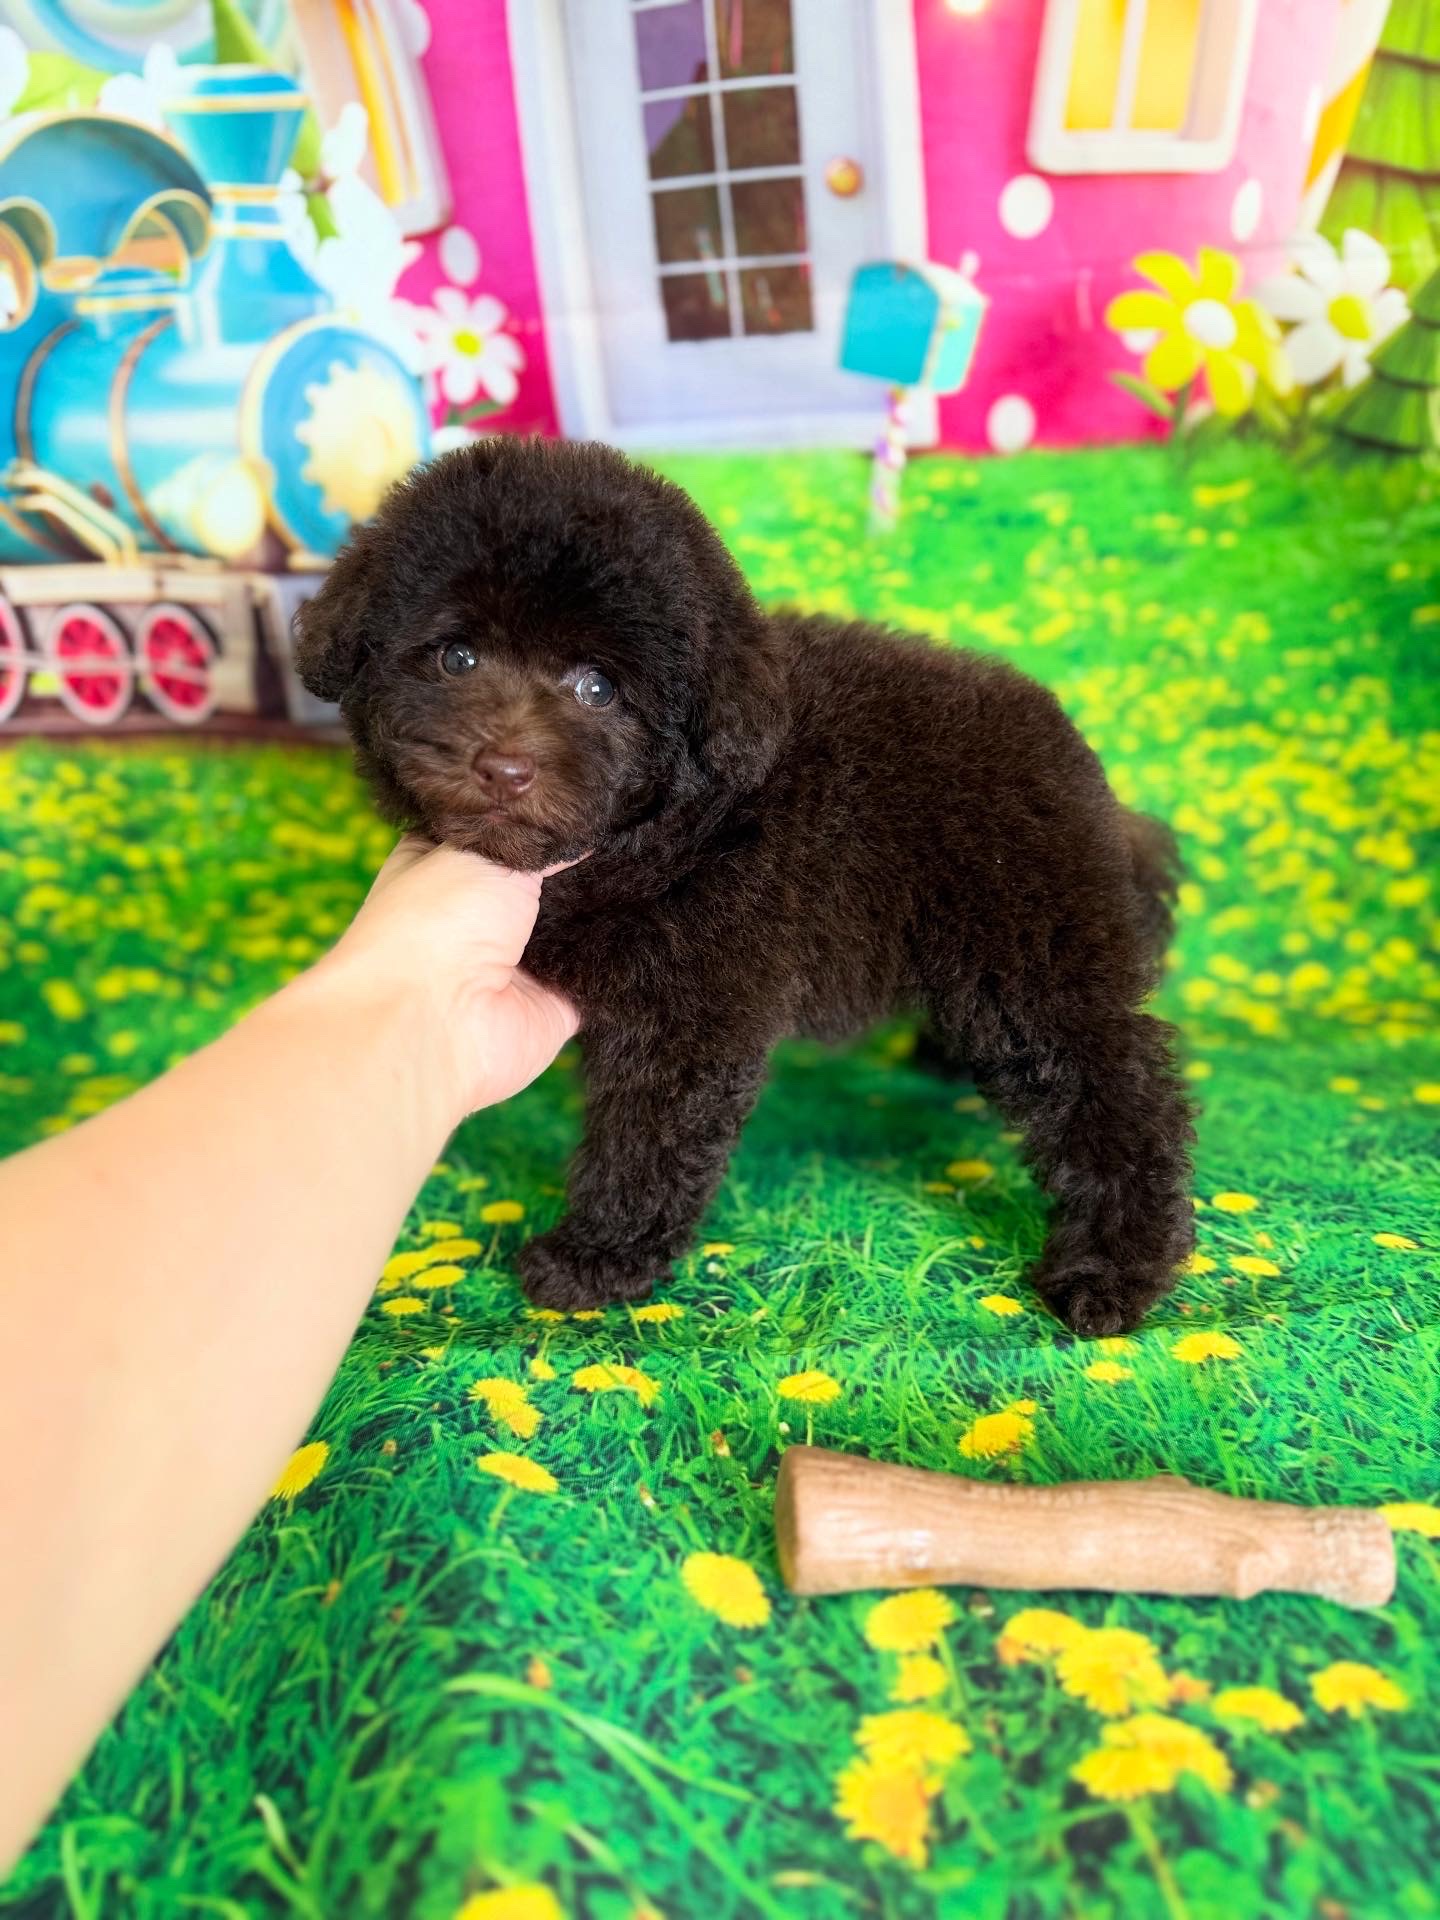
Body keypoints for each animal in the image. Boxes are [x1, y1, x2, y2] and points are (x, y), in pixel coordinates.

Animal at [295, 437, 1194, 1336]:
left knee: (1113, 1085)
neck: (678, 821)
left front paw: (597, 1260)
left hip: (1028, 940)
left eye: (598, 688)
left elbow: (649, 1136)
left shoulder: (692, 1008)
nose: (505, 768)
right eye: (457, 657)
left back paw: (1112, 1267)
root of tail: (1082, 768)